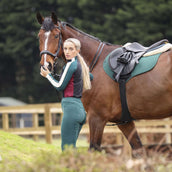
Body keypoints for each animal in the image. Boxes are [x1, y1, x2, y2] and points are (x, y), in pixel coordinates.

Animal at [36, 12, 172, 157]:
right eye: (39, 36)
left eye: (56, 35)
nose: (46, 65)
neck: (96, 61)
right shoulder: (124, 122)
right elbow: (139, 150)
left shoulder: (97, 118)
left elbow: (93, 149)